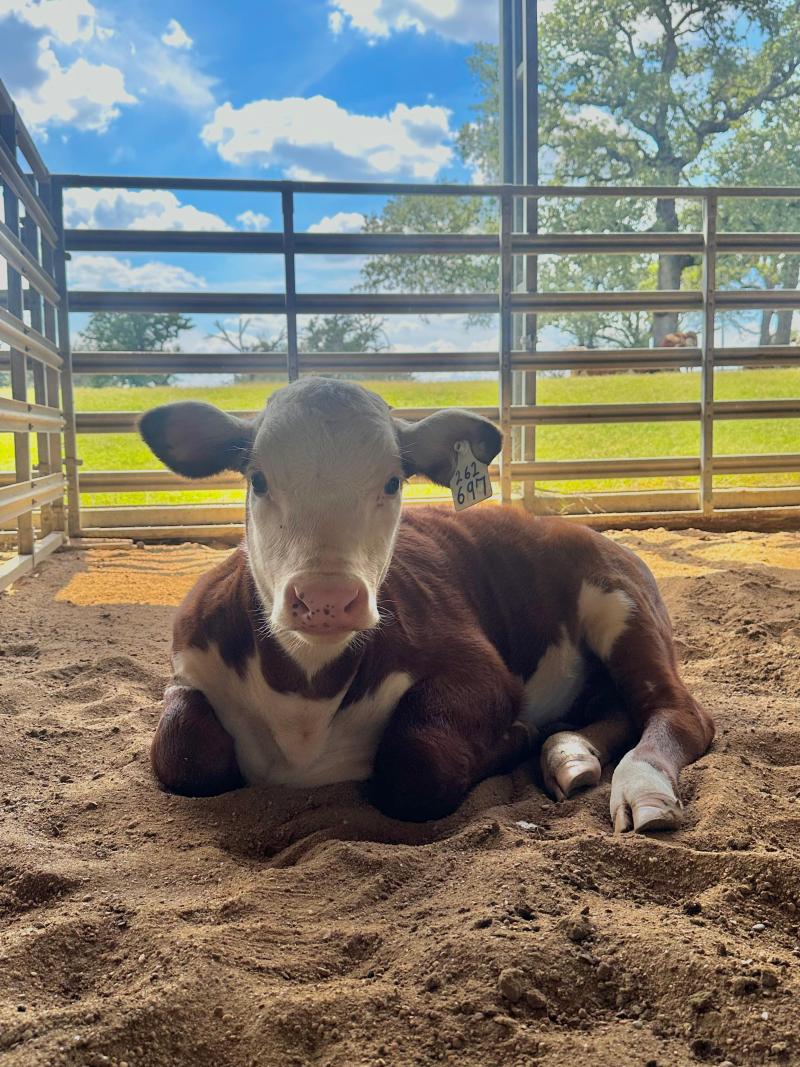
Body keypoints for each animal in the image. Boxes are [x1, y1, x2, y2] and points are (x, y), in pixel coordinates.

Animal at [139, 378, 714, 833]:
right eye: (257, 480)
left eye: (393, 482)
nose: (326, 598)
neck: (306, 698)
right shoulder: (188, 665)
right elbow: (181, 753)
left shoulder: (478, 669)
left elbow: (419, 762)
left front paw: (519, 734)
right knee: (617, 708)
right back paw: (571, 754)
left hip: (623, 604)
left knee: (677, 712)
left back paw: (641, 788)